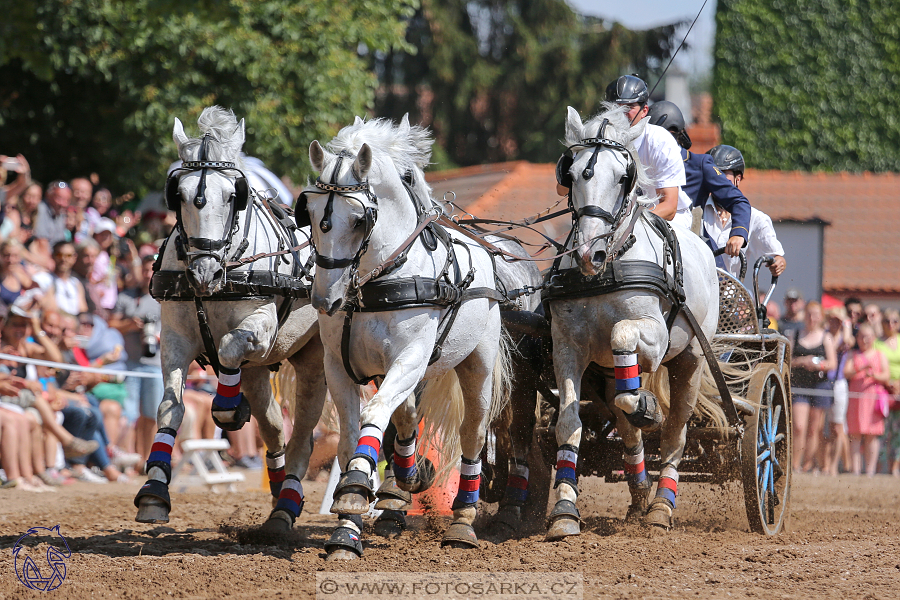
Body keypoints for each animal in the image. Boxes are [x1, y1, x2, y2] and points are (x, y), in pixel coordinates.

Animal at [134, 108, 326, 536]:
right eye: (179, 194)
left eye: (232, 195)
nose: (203, 271)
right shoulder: (175, 338)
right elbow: (170, 408)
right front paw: (154, 491)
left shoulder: (261, 327)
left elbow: (226, 347)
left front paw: (226, 406)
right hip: (261, 371)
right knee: (275, 430)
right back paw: (277, 493)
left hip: (318, 359)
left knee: (304, 435)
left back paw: (287, 507)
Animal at [298, 116, 510, 556]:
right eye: (308, 212)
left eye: (359, 219)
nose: (325, 300)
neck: (375, 281)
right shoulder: (337, 366)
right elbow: (350, 438)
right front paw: (347, 527)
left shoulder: (411, 356)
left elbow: (375, 414)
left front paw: (356, 490)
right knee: (409, 417)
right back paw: (405, 484)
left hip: (475, 366)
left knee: (472, 433)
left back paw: (462, 521)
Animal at [544, 104, 720, 540]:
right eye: (571, 172)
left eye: (624, 177)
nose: (588, 253)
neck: (608, 269)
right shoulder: (566, 347)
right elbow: (569, 423)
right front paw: (565, 511)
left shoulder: (652, 337)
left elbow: (622, 334)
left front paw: (648, 408)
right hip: (609, 372)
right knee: (626, 425)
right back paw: (640, 494)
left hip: (691, 359)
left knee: (676, 431)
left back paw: (661, 506)